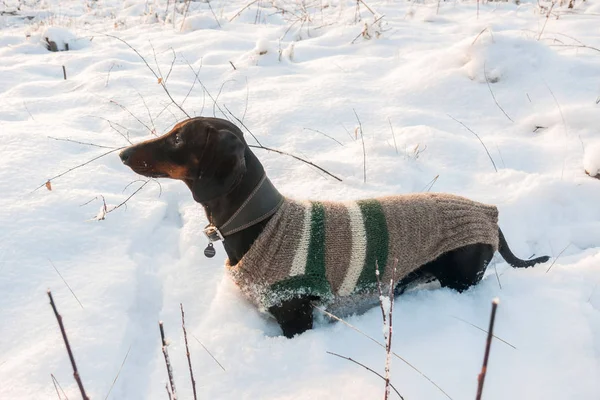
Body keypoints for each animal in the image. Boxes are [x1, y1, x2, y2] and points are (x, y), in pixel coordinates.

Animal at [119, 118, 552, 338]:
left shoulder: (296, 315)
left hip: (460, 279)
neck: (261, 222)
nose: (122, 153)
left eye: (178, 137)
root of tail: (488, 214)